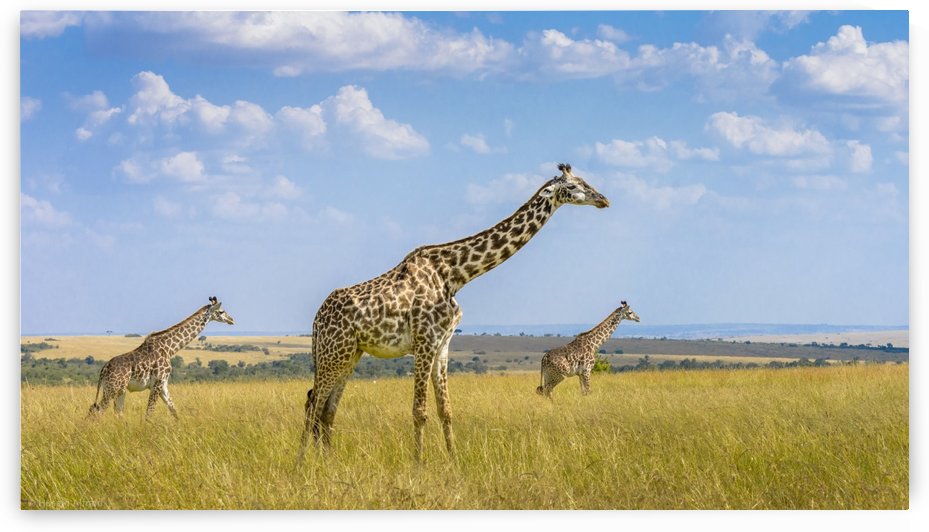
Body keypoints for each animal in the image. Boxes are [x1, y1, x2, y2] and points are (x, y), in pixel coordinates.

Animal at [88, 296, 235, 419]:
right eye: (221, 311)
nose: (232, 319)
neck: (169, 349)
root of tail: (104, 369)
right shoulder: (157, 383)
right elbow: (149, 413)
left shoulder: (163, 384)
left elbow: (174, 410)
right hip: (112, 388)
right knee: (97, 412)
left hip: (119, 390)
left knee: (115, 413)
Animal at [299, 163, 610, 462]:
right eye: (573, 186)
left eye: (585, 181)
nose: (603, 199)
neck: (455, 275)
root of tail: (316, 319)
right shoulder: (424, 341)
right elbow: (419, 410)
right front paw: (418, 464)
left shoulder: (443, 344)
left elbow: (445, 410)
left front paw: (454, 460)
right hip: (333, 353)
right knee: (313, 403)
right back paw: (302, 464)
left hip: (349, 354)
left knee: (327, 409)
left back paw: (328, 461)